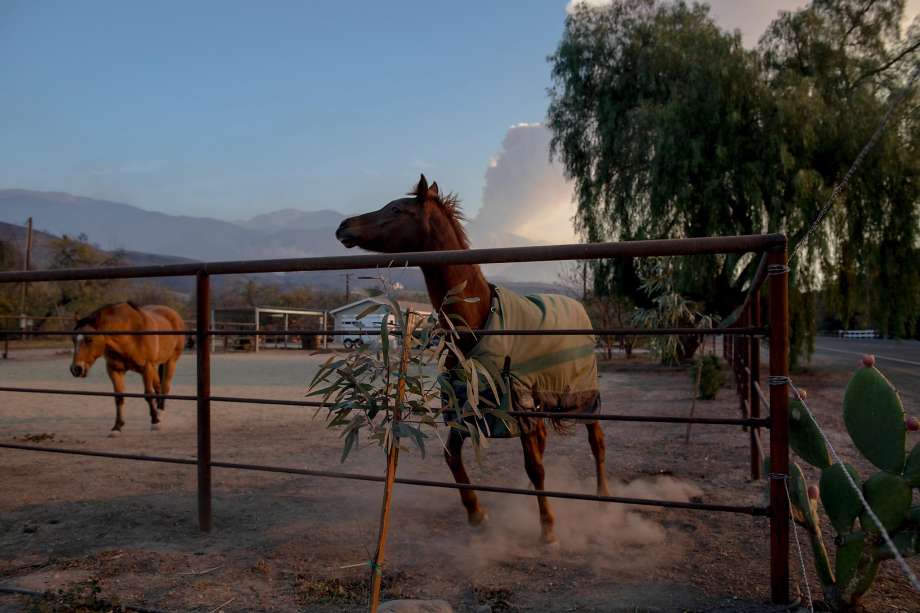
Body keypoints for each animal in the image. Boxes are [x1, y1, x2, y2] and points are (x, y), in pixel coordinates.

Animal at [70, 302, 185, 435]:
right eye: (73, 339)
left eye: (89, 339)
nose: (76, 369)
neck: (130, 336)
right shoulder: (114, 370)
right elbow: (119, 397)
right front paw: (117, 427)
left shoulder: (146, 367)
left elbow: (148, 394)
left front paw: (155, 422)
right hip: (154, 366)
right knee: (158, 386)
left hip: (171, 362)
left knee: (165, 387)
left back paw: (160, 413)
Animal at [336, 174, 609, 544]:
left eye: (396, 209)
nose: (344, 226)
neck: (478, 321)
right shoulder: (464, 406)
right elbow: (452, 456)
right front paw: (477, 513)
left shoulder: (516, 403)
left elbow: (535, 466)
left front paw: (548, 527)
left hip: (582, 395)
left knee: (596, 442)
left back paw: (603, 499)